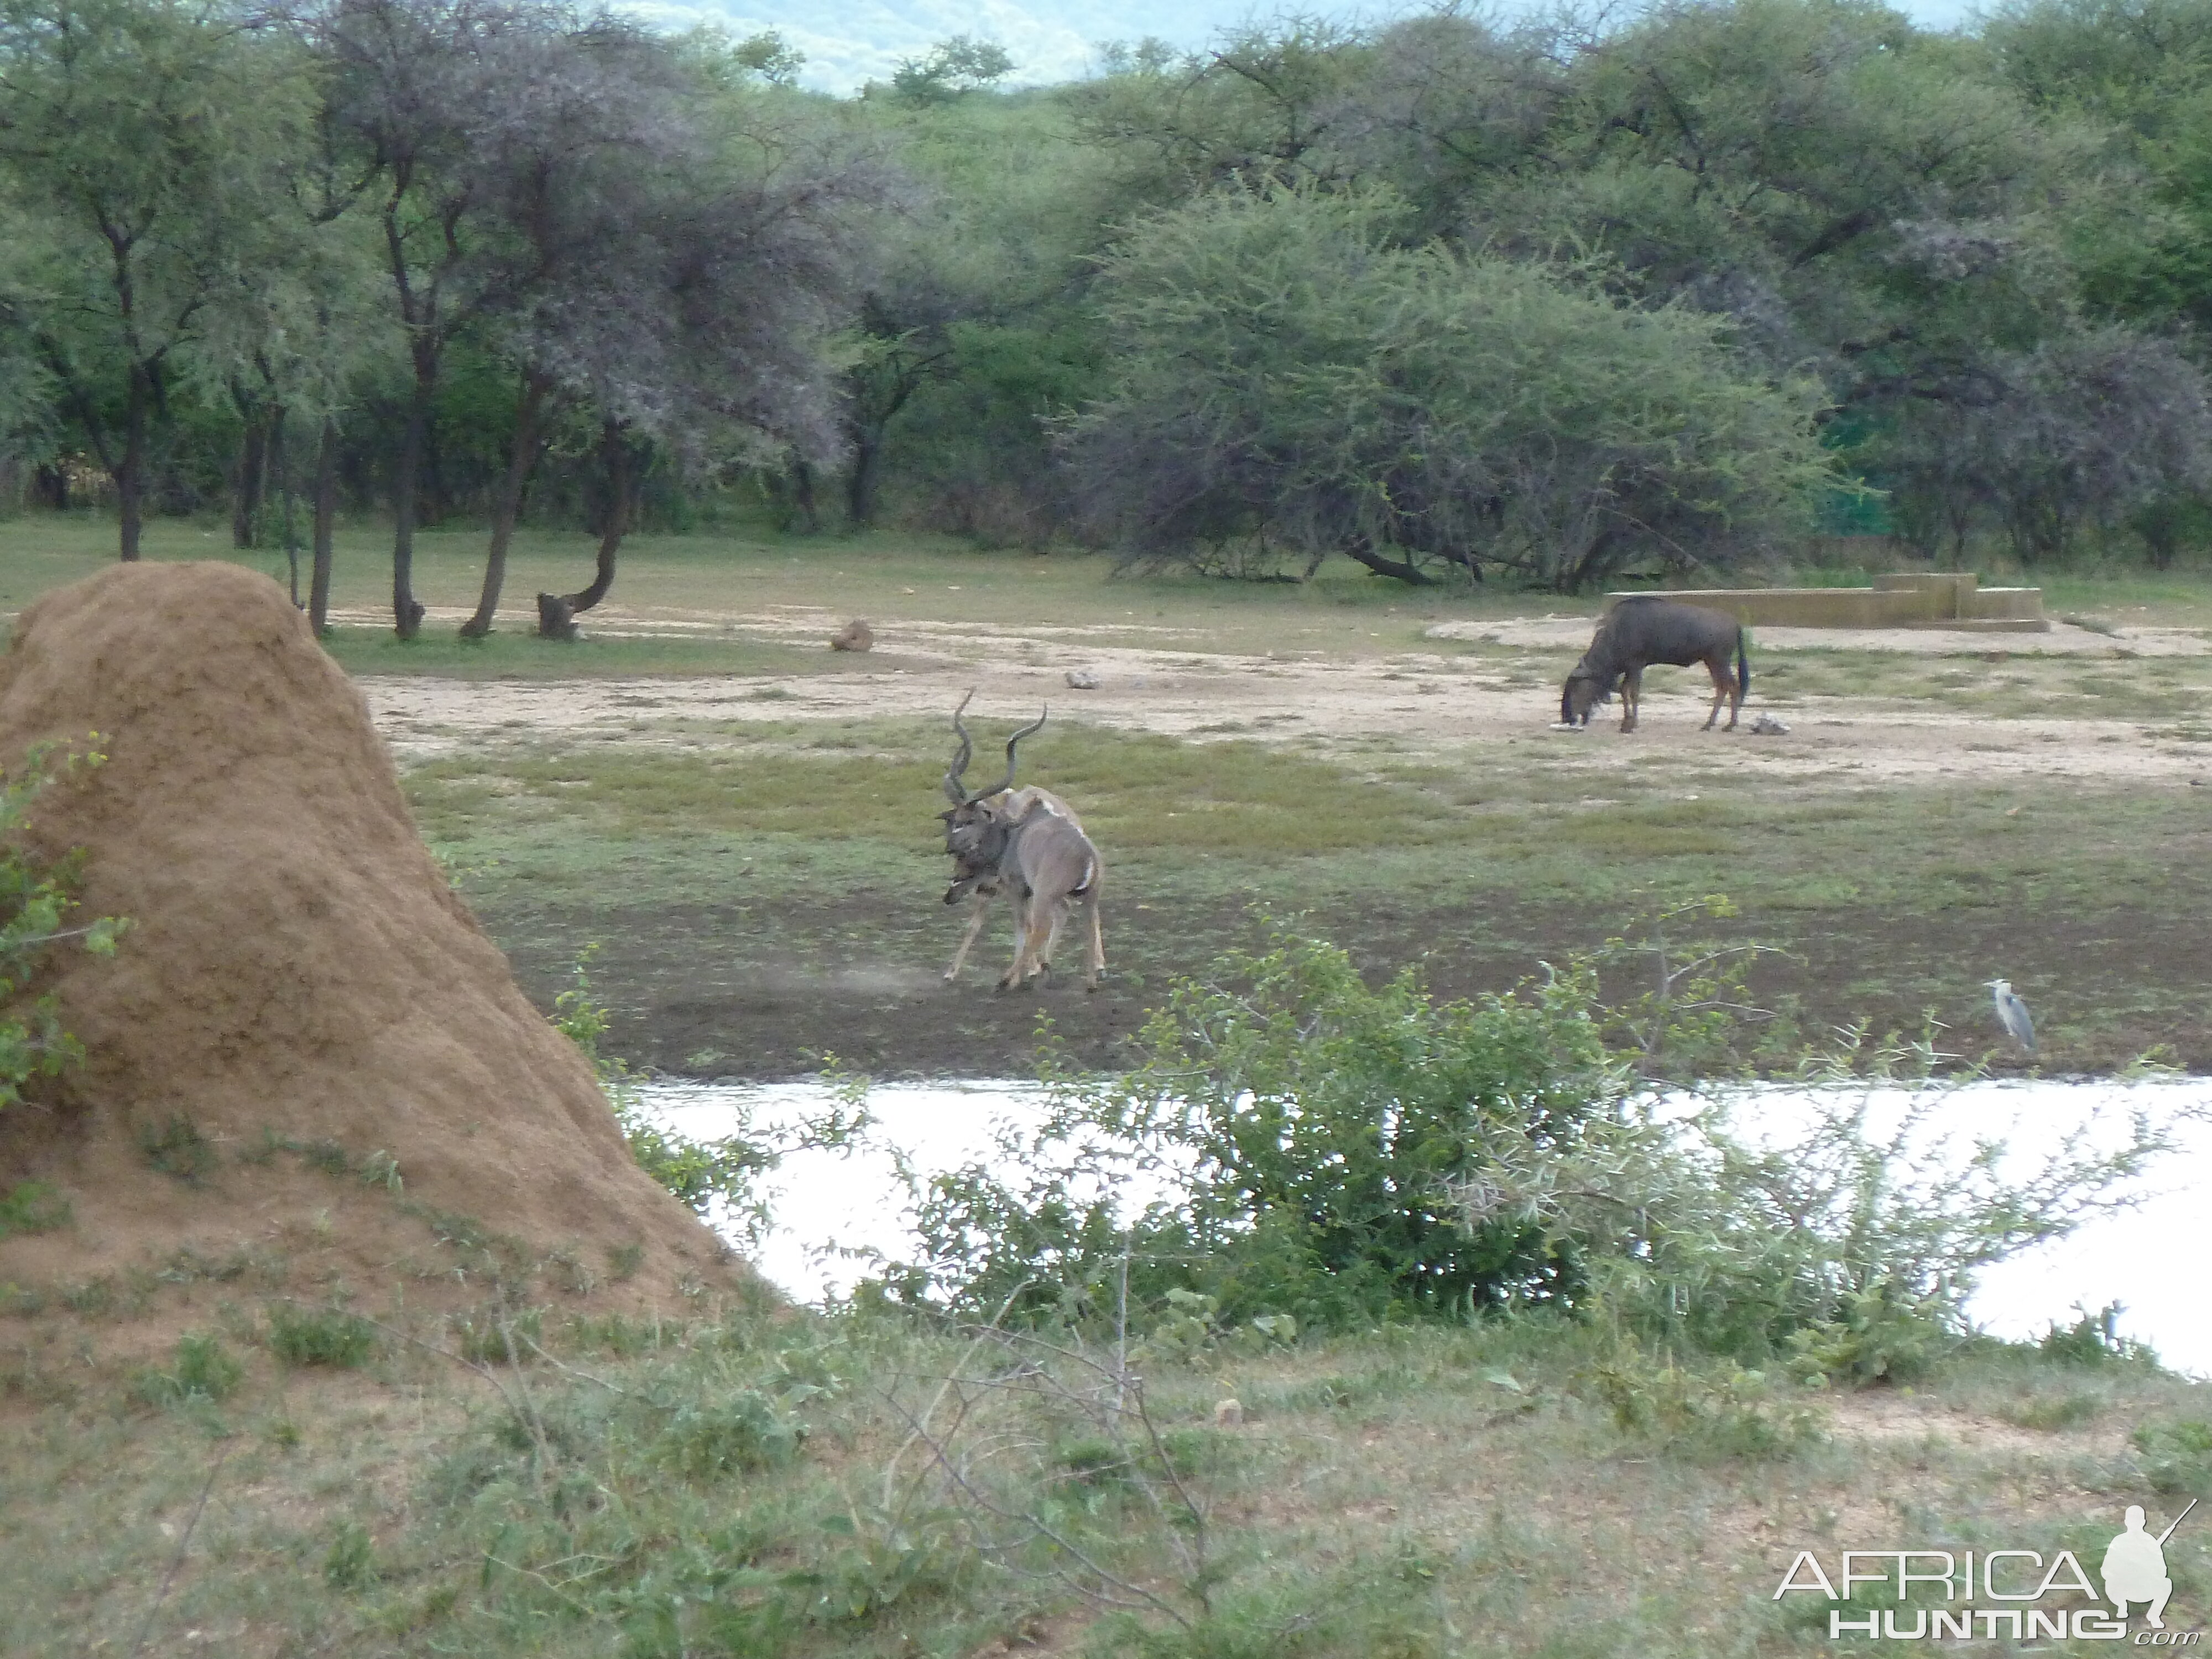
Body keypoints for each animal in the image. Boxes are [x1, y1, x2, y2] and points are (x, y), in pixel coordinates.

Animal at [933, 695, 1106, 995]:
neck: (1014, 830)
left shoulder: (1018, 890)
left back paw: (1008, 980)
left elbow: (1021, 930)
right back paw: (1088, 981)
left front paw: (1020, 977)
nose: (951, 848)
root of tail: (1087, 857)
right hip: (1088, 896)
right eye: (953, 820)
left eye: (970, 820)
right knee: (1086, 924)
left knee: (1041, 927)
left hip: (1045, 895)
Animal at [1566, 593, 1752, 730]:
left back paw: (1728, 725)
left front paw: (1632, 724)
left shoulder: (1635, 666)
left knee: (1731, 686)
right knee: (1723, 687)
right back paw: (1711, 724)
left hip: (1719, 661)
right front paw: (1626, 722)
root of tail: (1735, 624)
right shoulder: (1630, 669)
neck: (1617, 632)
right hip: (1712, 662)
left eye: (1576, 688)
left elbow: (1633, 693)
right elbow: (1624, 690)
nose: (1568, 718)